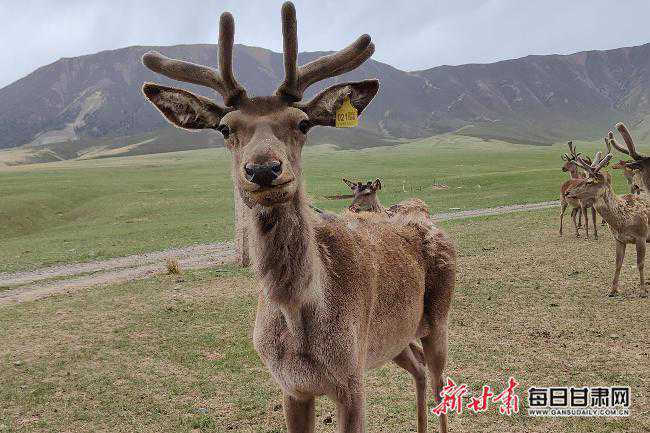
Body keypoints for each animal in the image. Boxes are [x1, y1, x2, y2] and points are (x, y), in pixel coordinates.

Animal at [140, 3, 456, 432]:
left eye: (302, 122)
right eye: (224, 128)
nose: (263, 169)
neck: (297, 314)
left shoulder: (351, 380)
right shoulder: (291, 386)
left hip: (438, 318)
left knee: (441, 380)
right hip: (395, 338)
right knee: (420, 370)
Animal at [567, 149, 649, 298]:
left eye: (589, 182)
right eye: (584, 177)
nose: (567, 192)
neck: (622, 221)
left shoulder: (642, 235)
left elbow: (640, 263)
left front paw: (642, 291)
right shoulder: (619, 239)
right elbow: (618, 263)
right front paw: (612, 290)